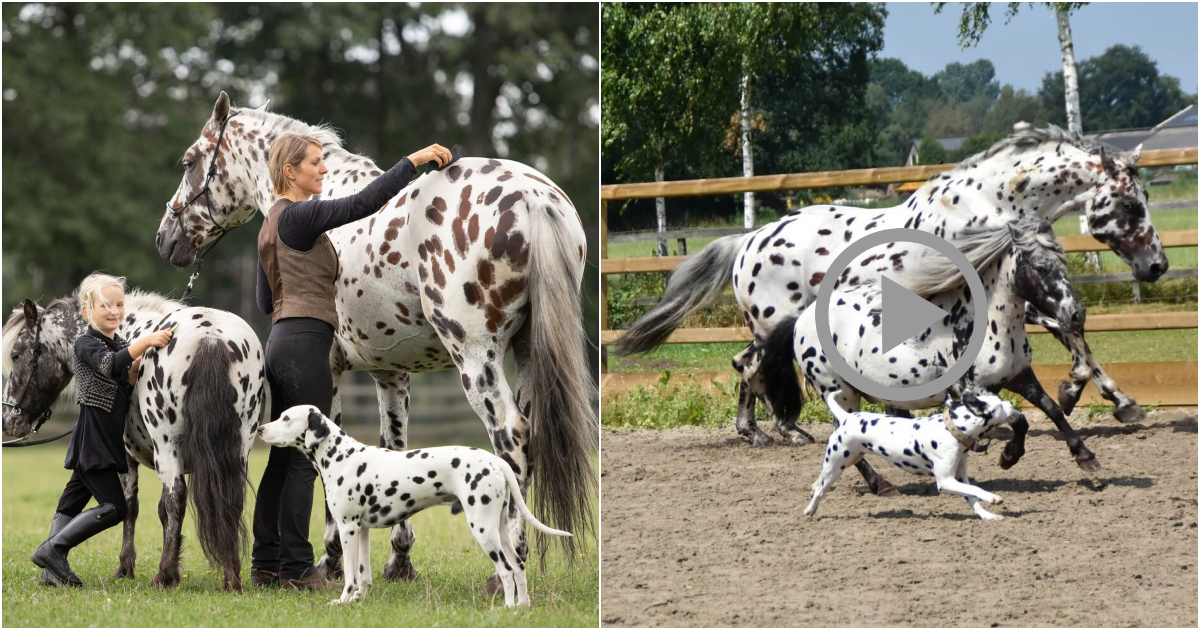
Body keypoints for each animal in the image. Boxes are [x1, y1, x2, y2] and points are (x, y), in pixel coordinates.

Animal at [254, 403, 571, 604]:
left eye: (285, 418)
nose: (260, 428)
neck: (341, 456)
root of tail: (495, 461)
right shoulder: (362, 530)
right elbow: (363, 574)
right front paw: (358, 600)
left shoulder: (347, 529)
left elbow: (351, 575)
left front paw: (343, 600)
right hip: (500, 528)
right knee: (518, 566)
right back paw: (522, 607)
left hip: (483, 529)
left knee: (506, 569)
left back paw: (507, 608)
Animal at [748, 214, 1089, 477]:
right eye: (1041, 267)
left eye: (1062, 262)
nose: (1076, 314)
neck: (986, 322)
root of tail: (800, 320)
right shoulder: (975, 391)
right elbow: (1020, 419)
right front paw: (1009, 456)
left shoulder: (1019, 376)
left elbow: (1053, 410)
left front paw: (1086, 456)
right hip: (838, 391)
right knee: (843, 435)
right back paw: (879, 484)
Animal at [806, 388, 1022, 520]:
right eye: (999, 404)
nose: (1012, 405)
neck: (951, 430)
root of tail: (847, 417)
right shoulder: (945, 482)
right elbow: (976, 489)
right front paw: (992, 497)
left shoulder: (960, 477)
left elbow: (972, 496)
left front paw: (987, 515)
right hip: (835, 467)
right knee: (820, 490)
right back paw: (810, 509)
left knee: (818, 485)